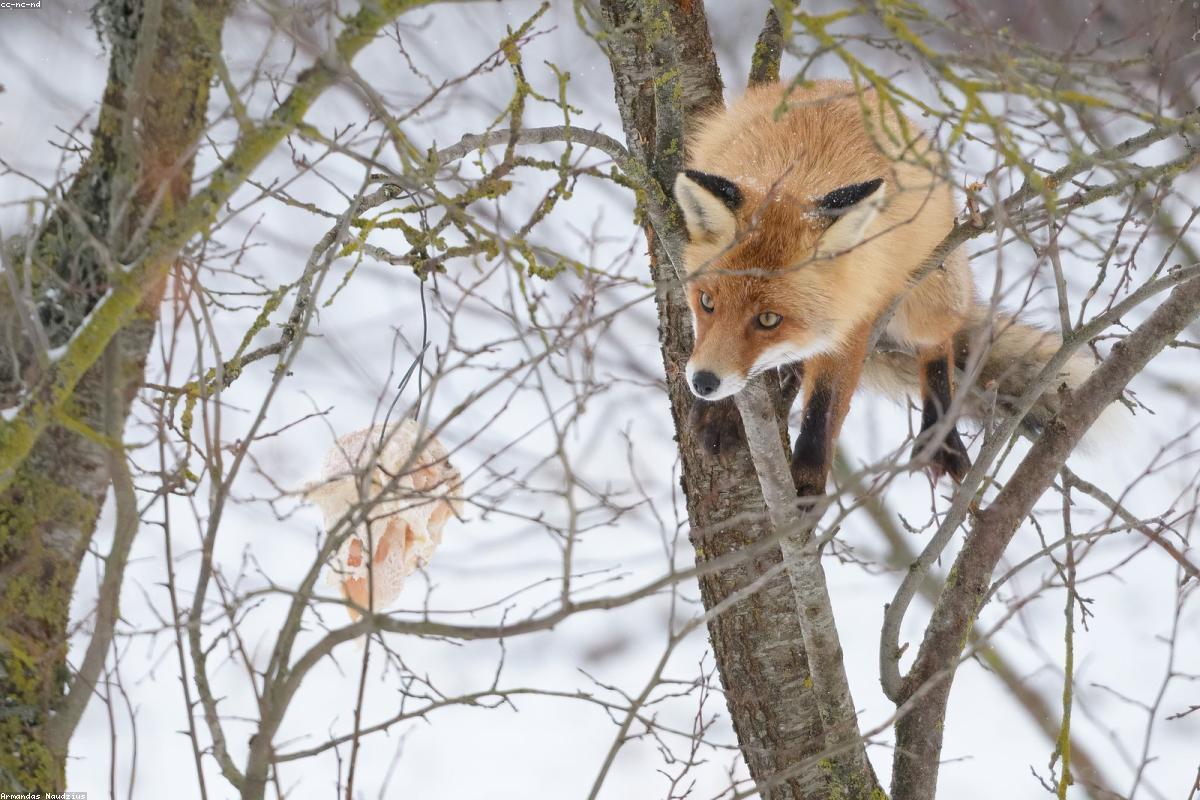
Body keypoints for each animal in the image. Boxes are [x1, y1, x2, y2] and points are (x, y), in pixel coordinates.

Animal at [674, 79, 1102, 499]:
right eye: (706, 302)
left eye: (768, 319)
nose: (703, 382)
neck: (797, 169)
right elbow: (750, 385)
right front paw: (722, 413)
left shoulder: (854, 318)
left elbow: (823, 409)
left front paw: (808, 484)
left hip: (928, 293)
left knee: (938, 347)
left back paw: (939, 435)